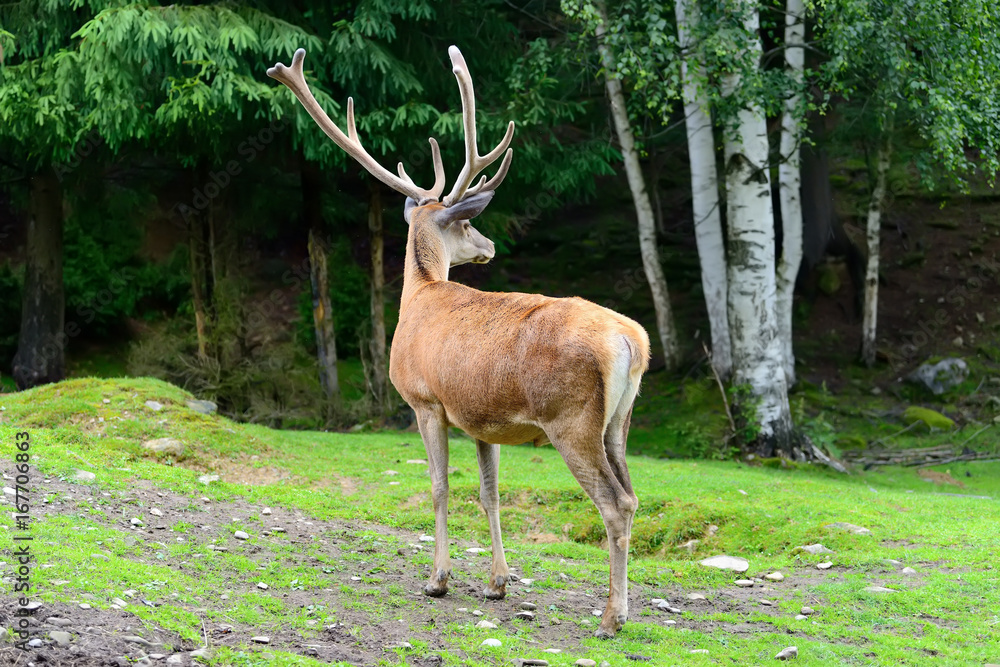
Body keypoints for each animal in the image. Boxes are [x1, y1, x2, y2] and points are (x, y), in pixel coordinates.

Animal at [270, 44, 652, 640]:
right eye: (469, 226)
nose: (489, 245)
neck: (418, 296)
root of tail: (632, 342)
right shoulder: (481, 418)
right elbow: (489, 492)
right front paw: (497, 583)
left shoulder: (426, 400)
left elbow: (439, 486)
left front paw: (438, 579)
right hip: (620, 421)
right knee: (632, 495)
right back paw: (619, 608)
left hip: (572, 419)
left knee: (615, 504)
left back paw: (612, 617)